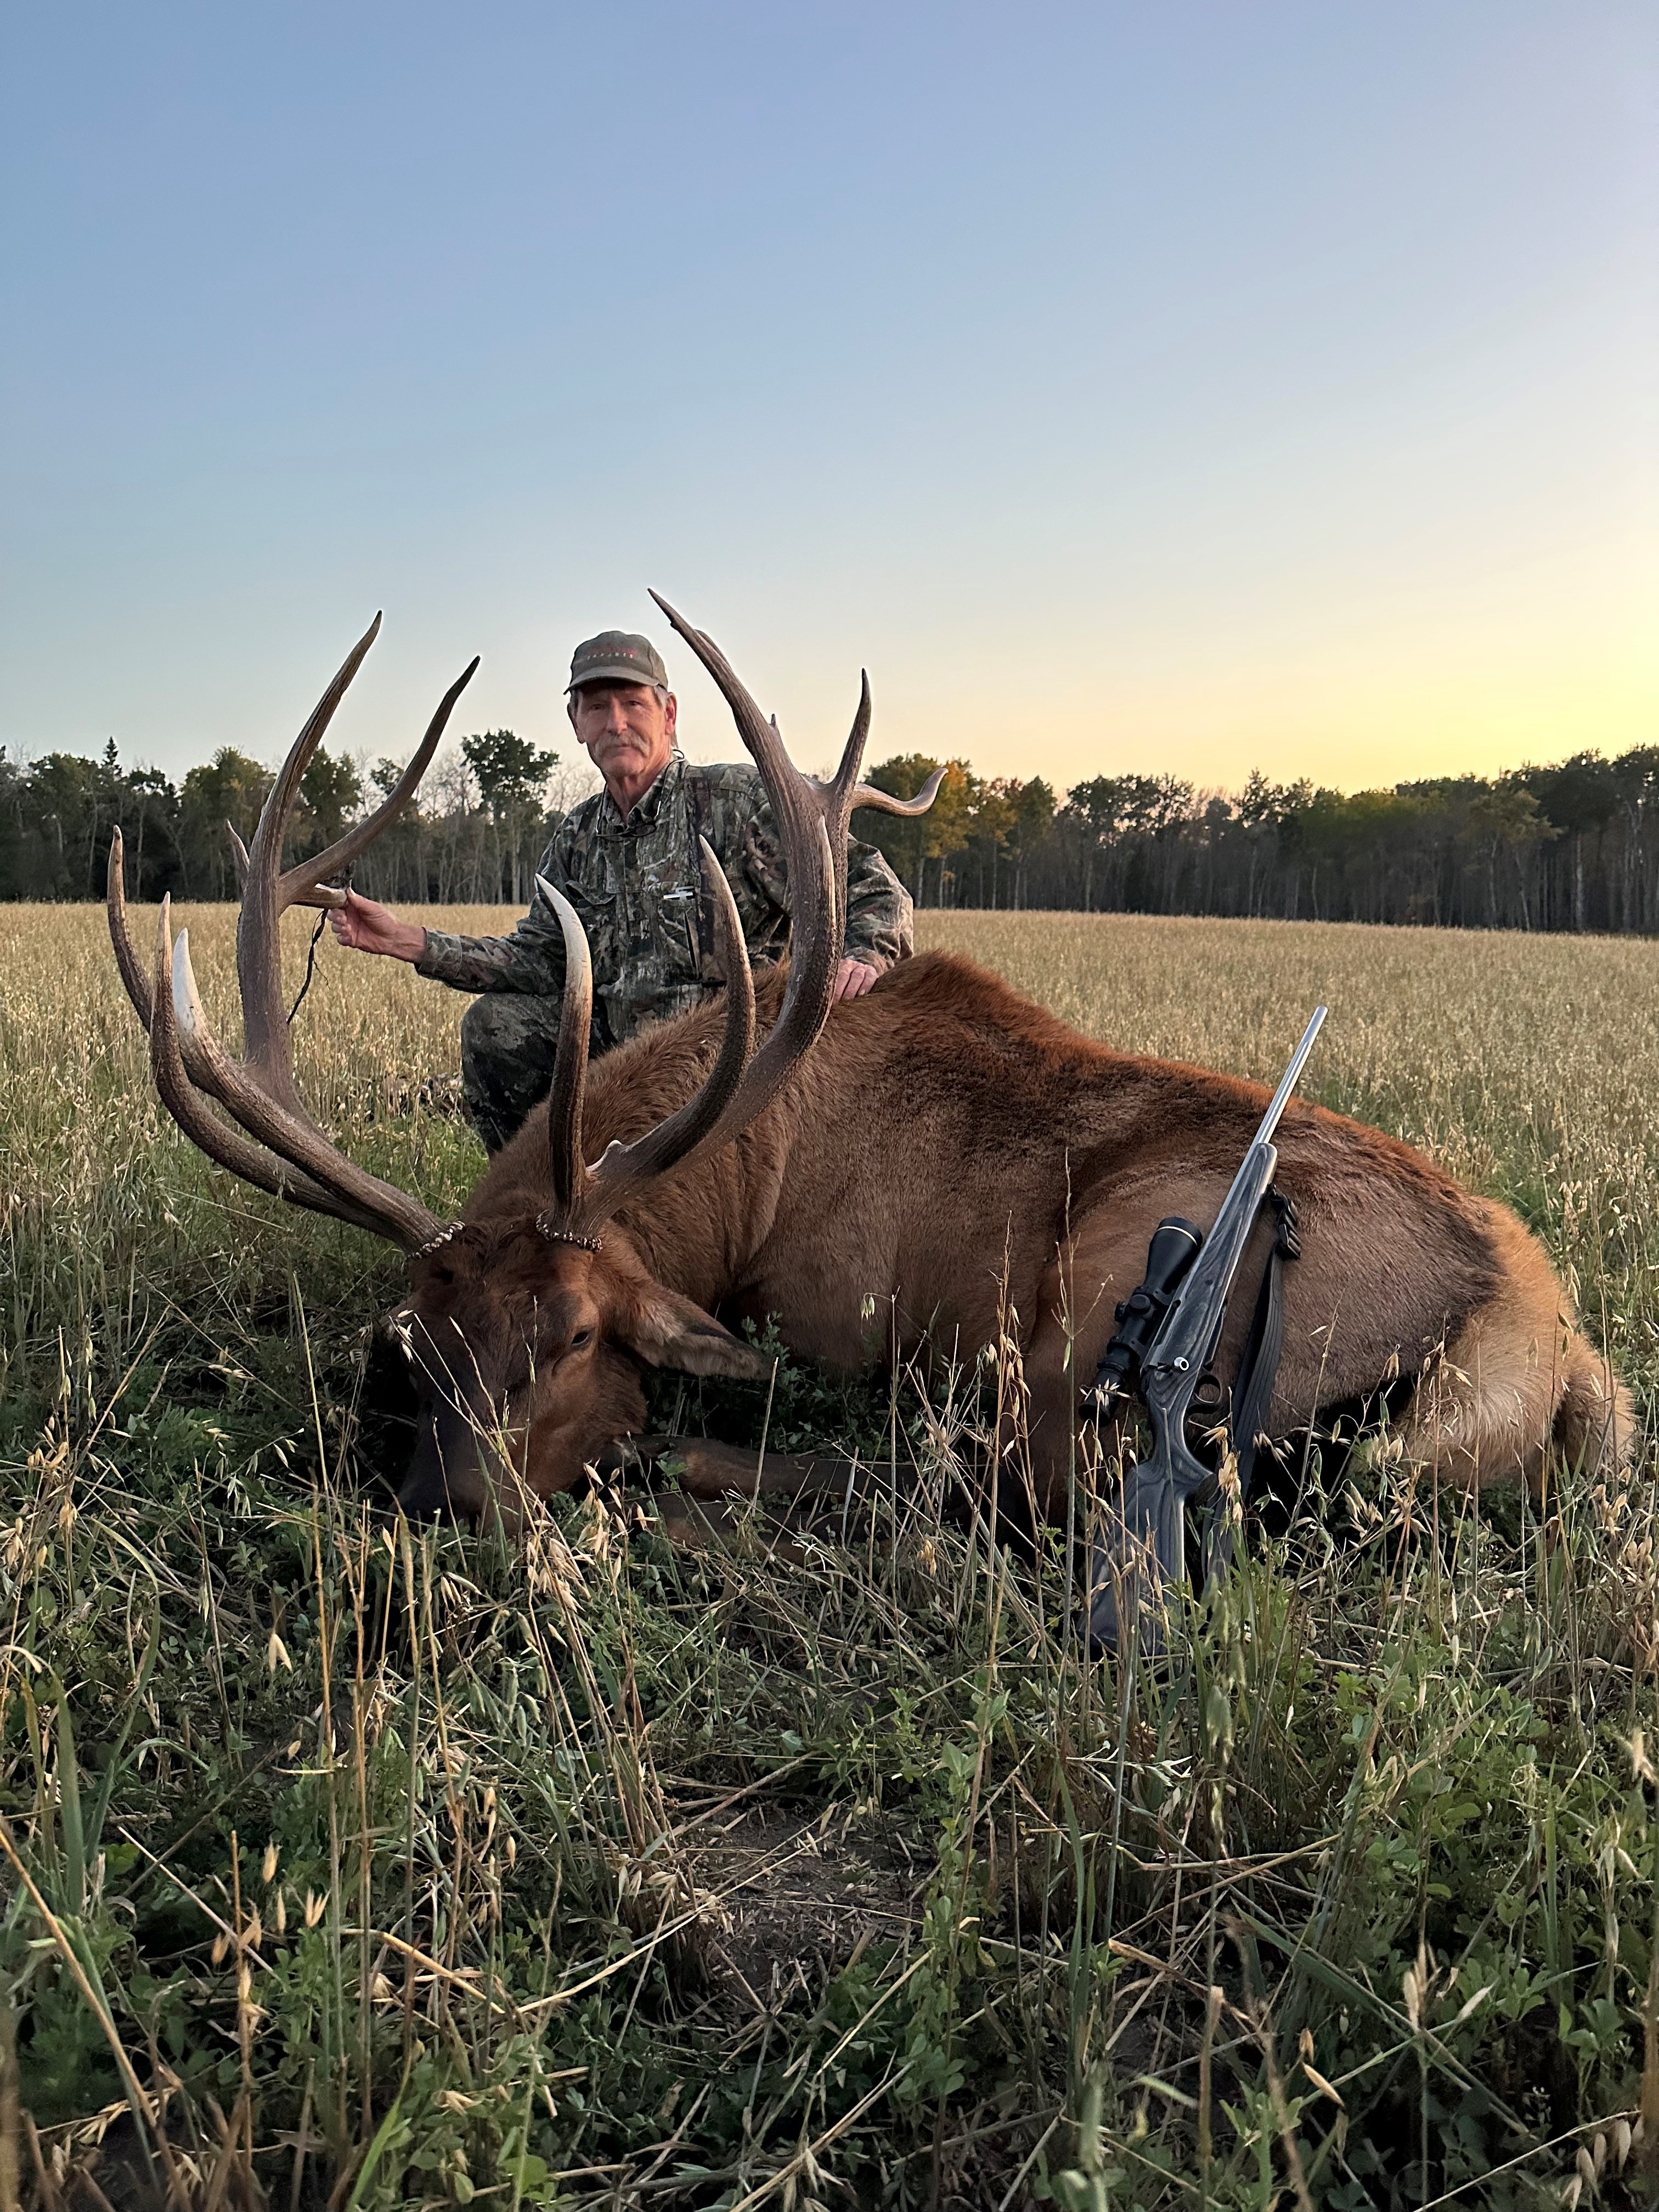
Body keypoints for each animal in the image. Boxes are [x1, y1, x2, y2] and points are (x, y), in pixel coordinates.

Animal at [107, 601, 1631, 1569]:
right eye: (414, 1346)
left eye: (576, 1335)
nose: (438, 1519)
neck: (742, 1187)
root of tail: (1554, 1359)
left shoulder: (840, 1324)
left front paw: (651, 1460)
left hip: (1098, 1316)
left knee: (993, 1499)